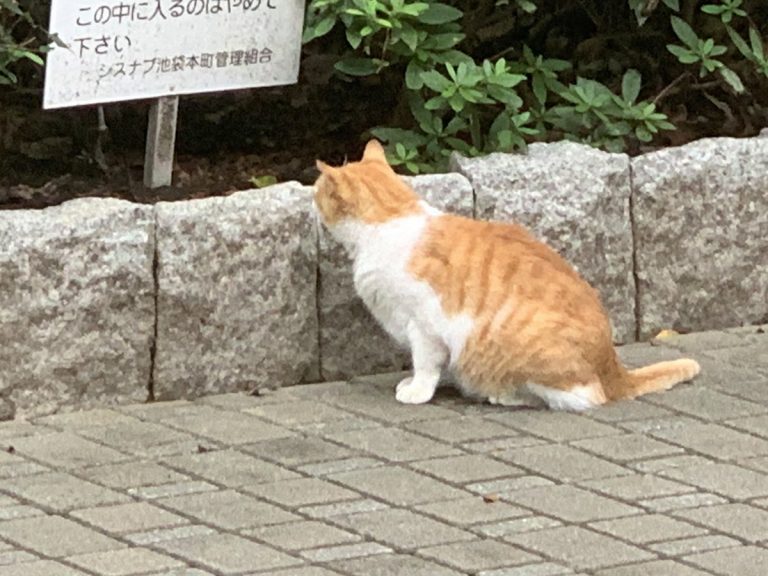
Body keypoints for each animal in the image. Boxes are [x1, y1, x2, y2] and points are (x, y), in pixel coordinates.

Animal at [314, 140, 704, 410]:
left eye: (317, 192)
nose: (311, 204)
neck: (391, 219)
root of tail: (613, 369)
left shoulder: (424, 325)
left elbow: (425, 364)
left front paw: (417, 391)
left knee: (585, 397)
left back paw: (506, 395)